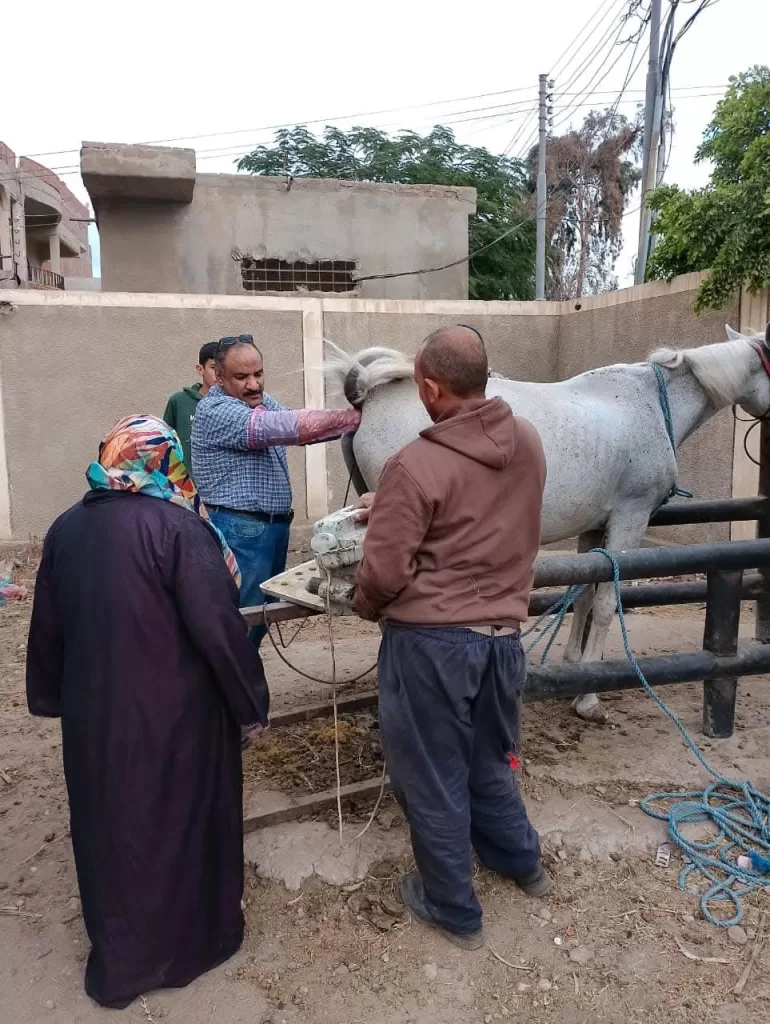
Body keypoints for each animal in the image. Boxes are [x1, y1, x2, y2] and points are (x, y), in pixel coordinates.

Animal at [325, 325, 770, 720]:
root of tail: (370, 397)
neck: (653, 406)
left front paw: (576, 664)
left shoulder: (595, 526)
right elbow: (606, 603)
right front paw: (589, 697)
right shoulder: (630, 518)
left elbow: (583, 594)